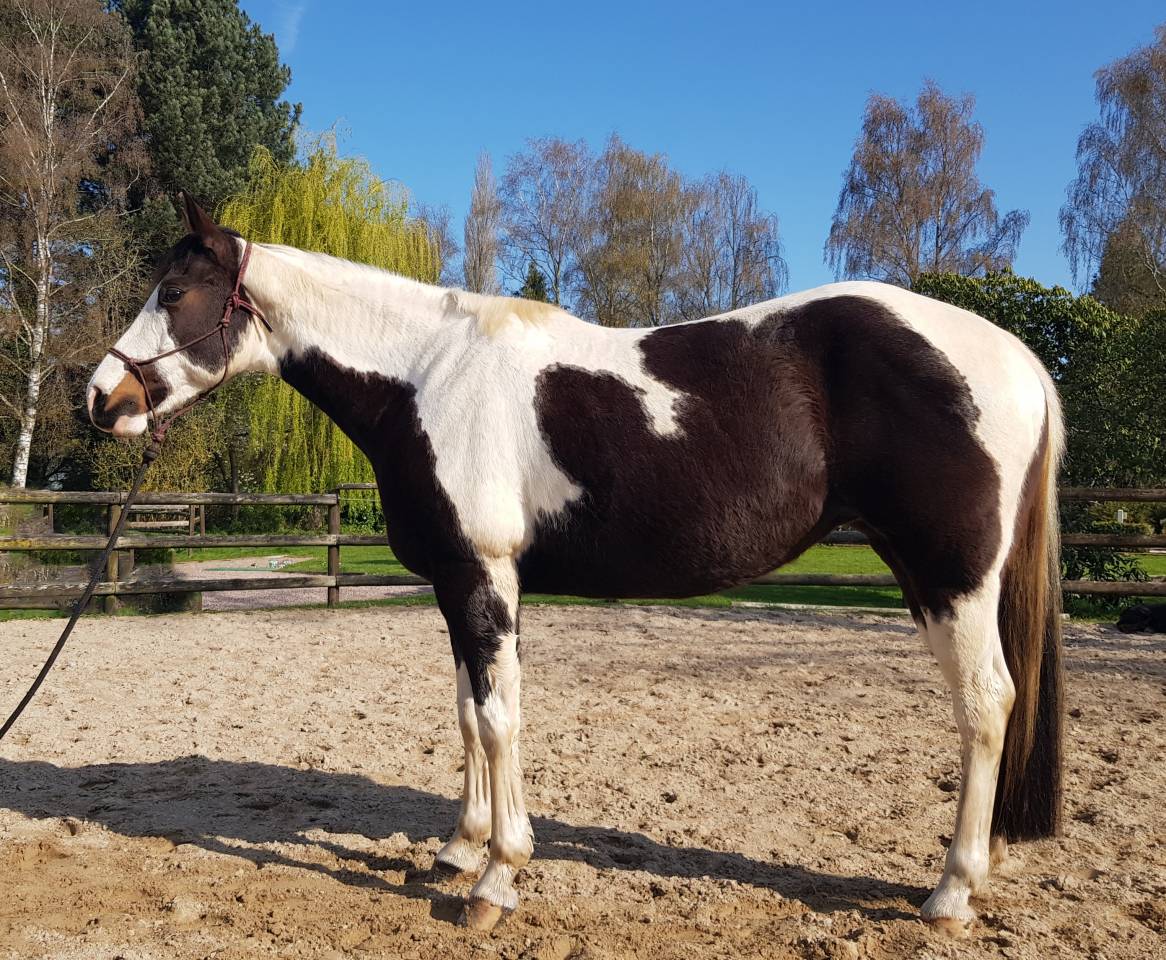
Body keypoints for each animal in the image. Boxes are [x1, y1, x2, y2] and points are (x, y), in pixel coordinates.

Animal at [86, 194, 1065, 933]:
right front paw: (458, 848)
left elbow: (498, 720)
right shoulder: (458, 585)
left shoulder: (485, 578)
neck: (426, 376)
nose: (102, 399)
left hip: (950, 578)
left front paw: (496, 879)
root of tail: (1017, 357)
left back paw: (950, 892)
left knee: (988, 704)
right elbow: (467, 713)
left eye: (174, 289)